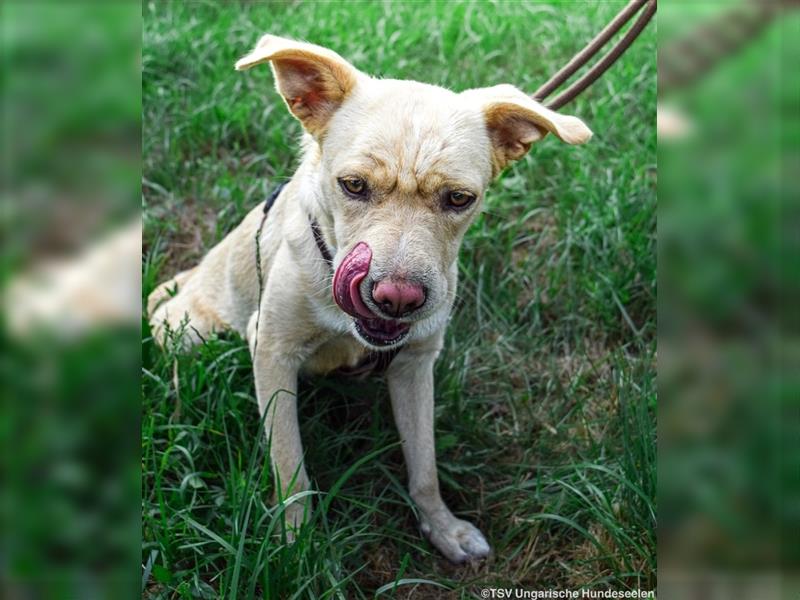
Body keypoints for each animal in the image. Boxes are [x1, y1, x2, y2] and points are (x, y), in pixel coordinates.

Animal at [147, 35, 592, 564]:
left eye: (459, 199)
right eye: (353, 185)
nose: (397, 298)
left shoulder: (415, 364)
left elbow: (424, 465)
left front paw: (443, 528)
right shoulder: (271, 351)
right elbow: (290, 467)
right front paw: (299, 548)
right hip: (191, 334)